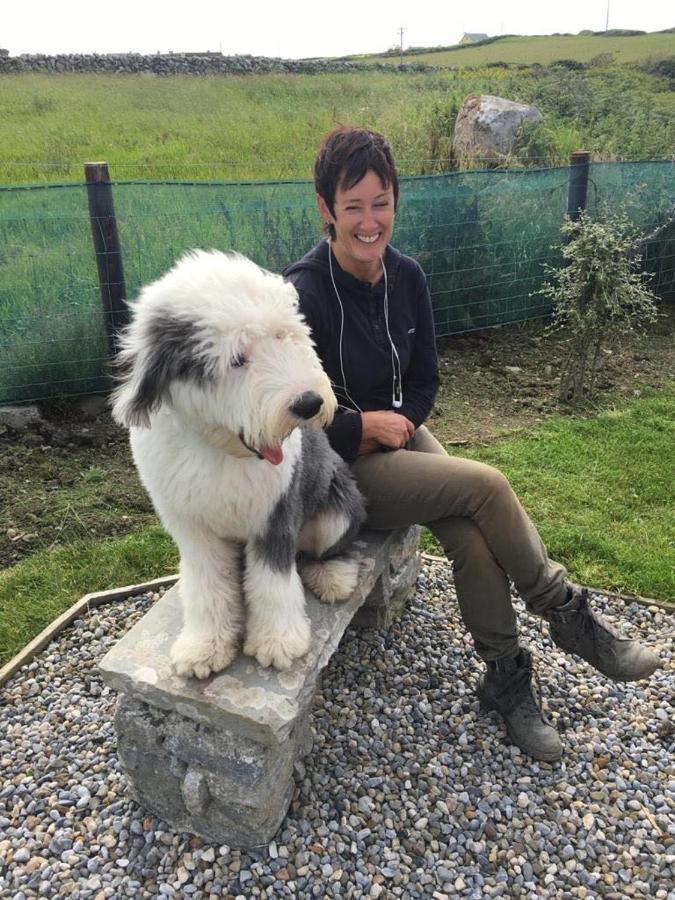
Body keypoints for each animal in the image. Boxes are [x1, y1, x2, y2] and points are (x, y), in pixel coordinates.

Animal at [112, 250, 364, 680]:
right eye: (236, 359)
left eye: (282, 336)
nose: (309, 402)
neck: (220, 450)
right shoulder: (191, 528)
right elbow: (207, 585)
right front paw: (204, 649)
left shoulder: (275, 513)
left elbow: (273, 581)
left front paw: (277, 643)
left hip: (337, 508)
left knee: (323, 551)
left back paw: (331, 578)